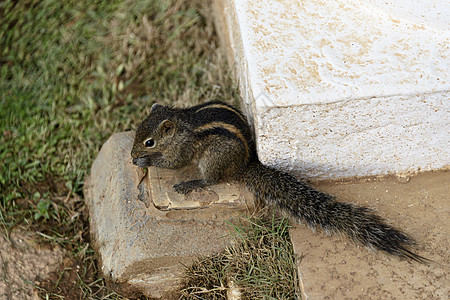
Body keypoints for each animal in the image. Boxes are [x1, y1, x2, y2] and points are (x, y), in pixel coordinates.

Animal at [131, 101, 426, 262]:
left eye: (150, 142)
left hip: (213, 158)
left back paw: (192, 183)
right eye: (136, 132)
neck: (181, 124)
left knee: (212, 179)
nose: (133, 153)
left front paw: (146, 162)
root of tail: (245, 165)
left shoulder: (182, 149)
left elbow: (173, 163)